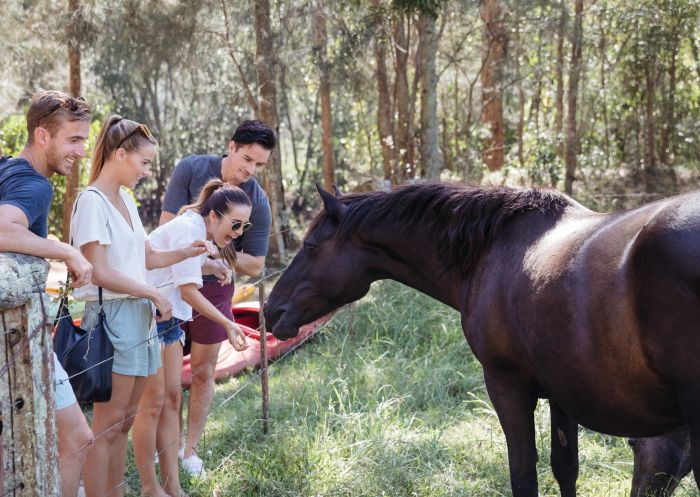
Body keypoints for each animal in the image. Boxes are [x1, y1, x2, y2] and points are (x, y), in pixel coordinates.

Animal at [264, 183, 700, 496]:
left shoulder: (506, 385)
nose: (272, 312)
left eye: (311, 247)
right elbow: (565, 469)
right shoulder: (561, 394)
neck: (490, 250)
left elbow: (524, 475)